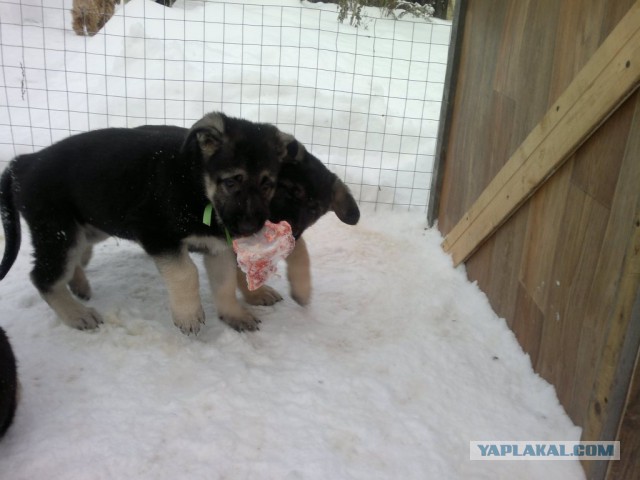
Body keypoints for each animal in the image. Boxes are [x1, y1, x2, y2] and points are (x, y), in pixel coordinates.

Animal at [0, 114, 298, 336]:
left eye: (267, 184)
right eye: (232, 181)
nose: (249, 228)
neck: (196, 183)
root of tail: (23, 162)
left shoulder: (217, 247)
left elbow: (224, 283)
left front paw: (233, 314)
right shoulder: (158, 234)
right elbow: (186, 272)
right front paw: (188, 315)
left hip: (90, 226)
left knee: (73, 259)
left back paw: (79, 286)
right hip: (60, 233)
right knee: (43, 277)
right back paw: (77, 315)